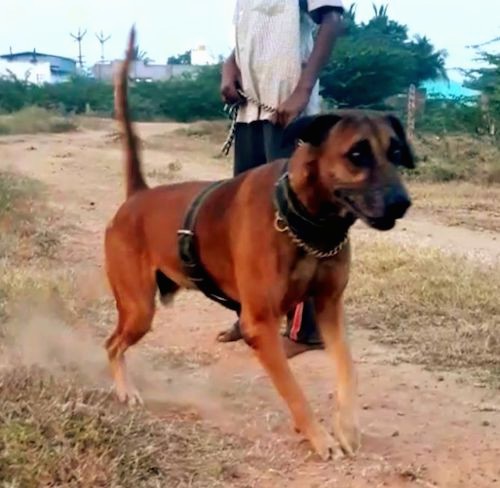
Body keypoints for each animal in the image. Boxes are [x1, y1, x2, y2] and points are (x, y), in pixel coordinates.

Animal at [105, 29, 414, 462]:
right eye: (357, 154)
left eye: (396, 152)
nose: (403, 203)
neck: (308, 223)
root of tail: (138, 196)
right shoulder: (261, 325)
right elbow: (294, 390)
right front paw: (318, 437)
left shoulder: (329, 308)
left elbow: (348, 369)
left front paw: (347, 427)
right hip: (138, 310)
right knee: (112, 345)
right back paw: (124, 388)